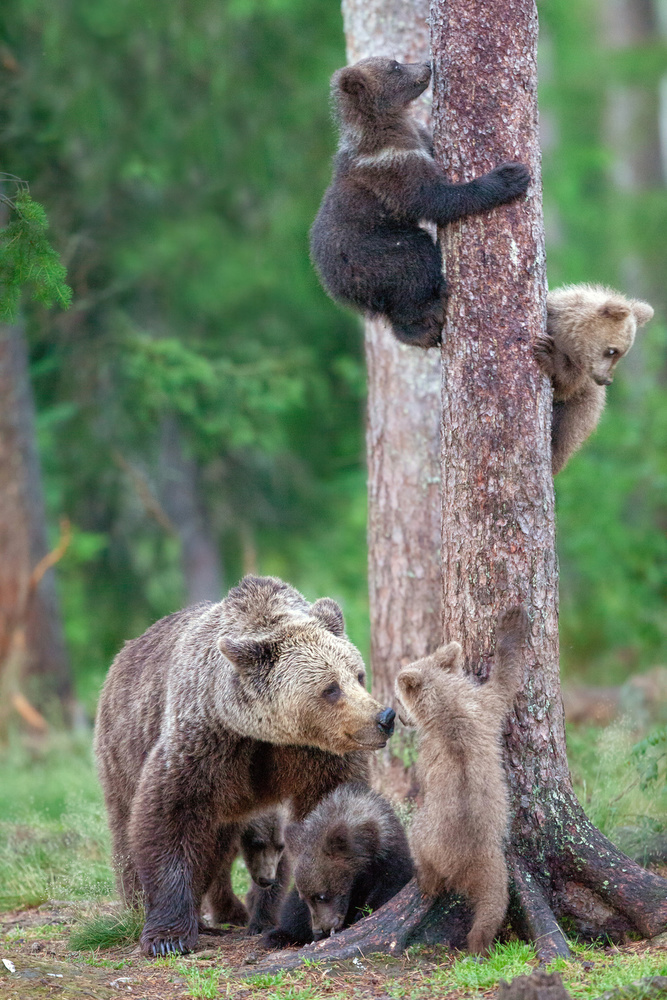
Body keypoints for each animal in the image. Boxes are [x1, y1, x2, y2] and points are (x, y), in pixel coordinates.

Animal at [93, 575, 396, 957]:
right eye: (330, 688)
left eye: (358, 675)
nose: (384, 717)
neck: (264, 732)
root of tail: (124, 652)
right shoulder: (207, 741)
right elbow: (169, 816)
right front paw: (168, 936)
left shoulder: (315, 755)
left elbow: (328, 811)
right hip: (123, 745)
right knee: (126, 826)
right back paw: (138, 907)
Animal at [262, 782, 413, 947]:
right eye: (306, 898)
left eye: (321, 896)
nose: (319, 930)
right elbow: (294, 911)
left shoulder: (389, 864)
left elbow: (386, 891)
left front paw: (361, 914)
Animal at [309, 57, 531, 349]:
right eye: (394, 66)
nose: (427, 64)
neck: (391, 125)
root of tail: (337, 289)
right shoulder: (392, 166)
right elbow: (436, 199)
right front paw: (510, 177)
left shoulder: (417, 143)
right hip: (373, 253)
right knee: (414, 263)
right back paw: (428, 318)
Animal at [394, 606, 530, 957]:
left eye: (398, 699)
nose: (398, 716)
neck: (448, 704)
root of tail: (462, 867)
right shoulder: (485, 709)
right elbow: (506, 680)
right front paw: (515, 619)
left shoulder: (442, 737)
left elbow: (506, 678)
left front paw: (512, 617)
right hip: (496, 866)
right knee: (494, 905)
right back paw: (480, 941)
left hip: (430, 833)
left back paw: (427, 885)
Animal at [535, 283, 654, 474]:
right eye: (612, 351)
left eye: (622, 354)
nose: (606, 380)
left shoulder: (582, 373)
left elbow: (566, 385)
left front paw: (548, 353)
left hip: (580, 410)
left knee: (566, 436)